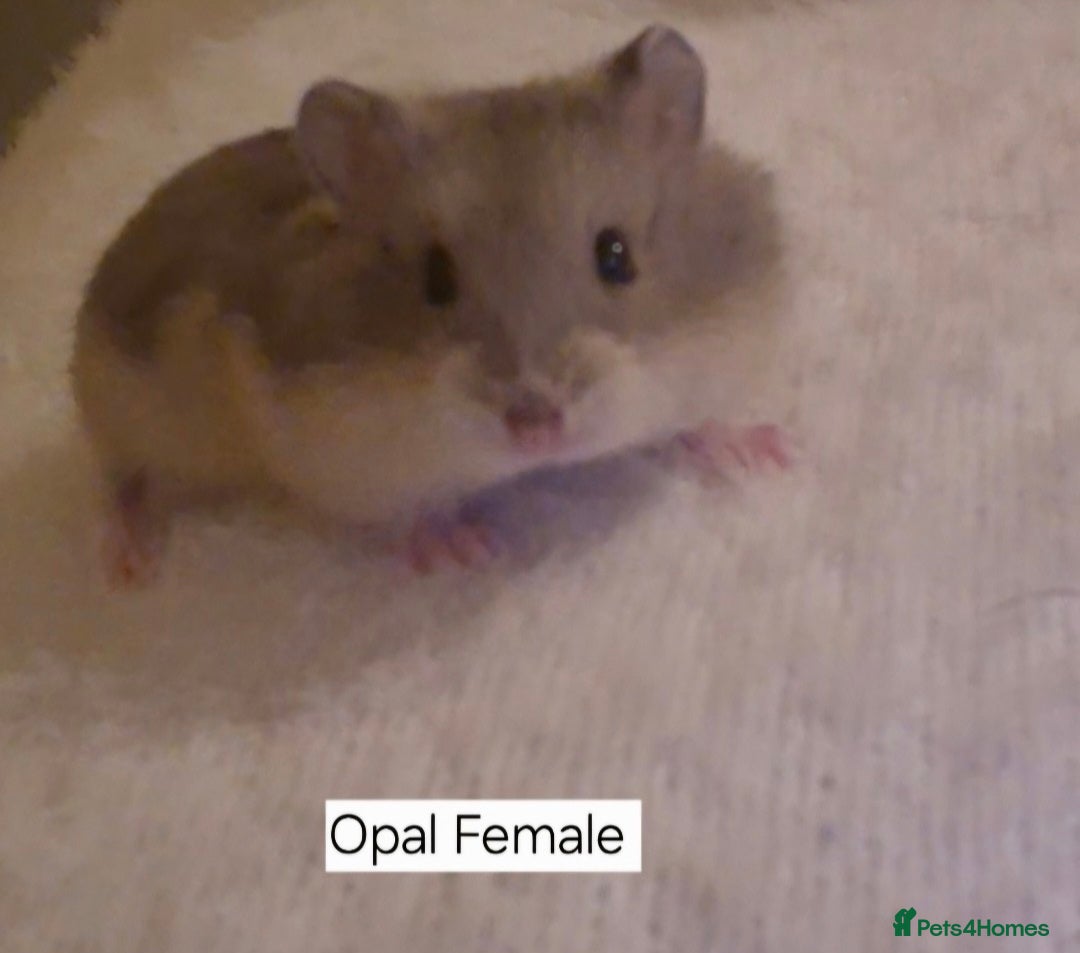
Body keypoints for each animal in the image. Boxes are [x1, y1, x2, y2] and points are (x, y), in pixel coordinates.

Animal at [71, 24, 787, 584]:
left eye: (616, 255)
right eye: (435, 279)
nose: (536, 431)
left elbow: (698, 417)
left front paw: (766, 452)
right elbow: (413, 511)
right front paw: (467, 549)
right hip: (118, 403)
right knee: (117, 478)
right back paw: (127, 567)